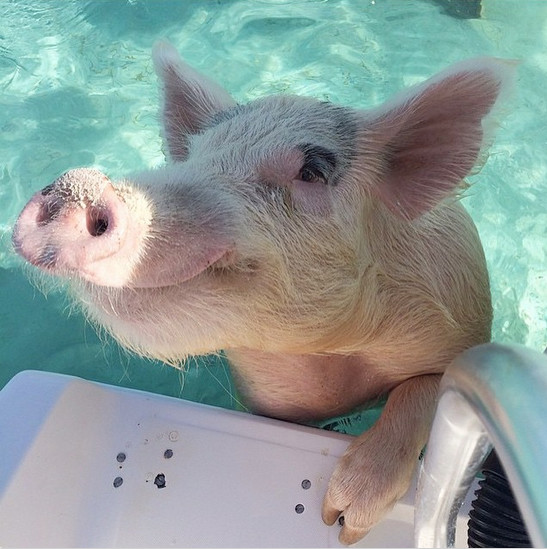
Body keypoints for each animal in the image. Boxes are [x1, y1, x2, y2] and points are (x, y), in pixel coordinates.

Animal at [12, 42, 516, 544]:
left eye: (311, 172)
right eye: (195, 157)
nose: (75, 185)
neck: (330, 359)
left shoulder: (459, 336)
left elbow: (424, 390)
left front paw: (340, 521)